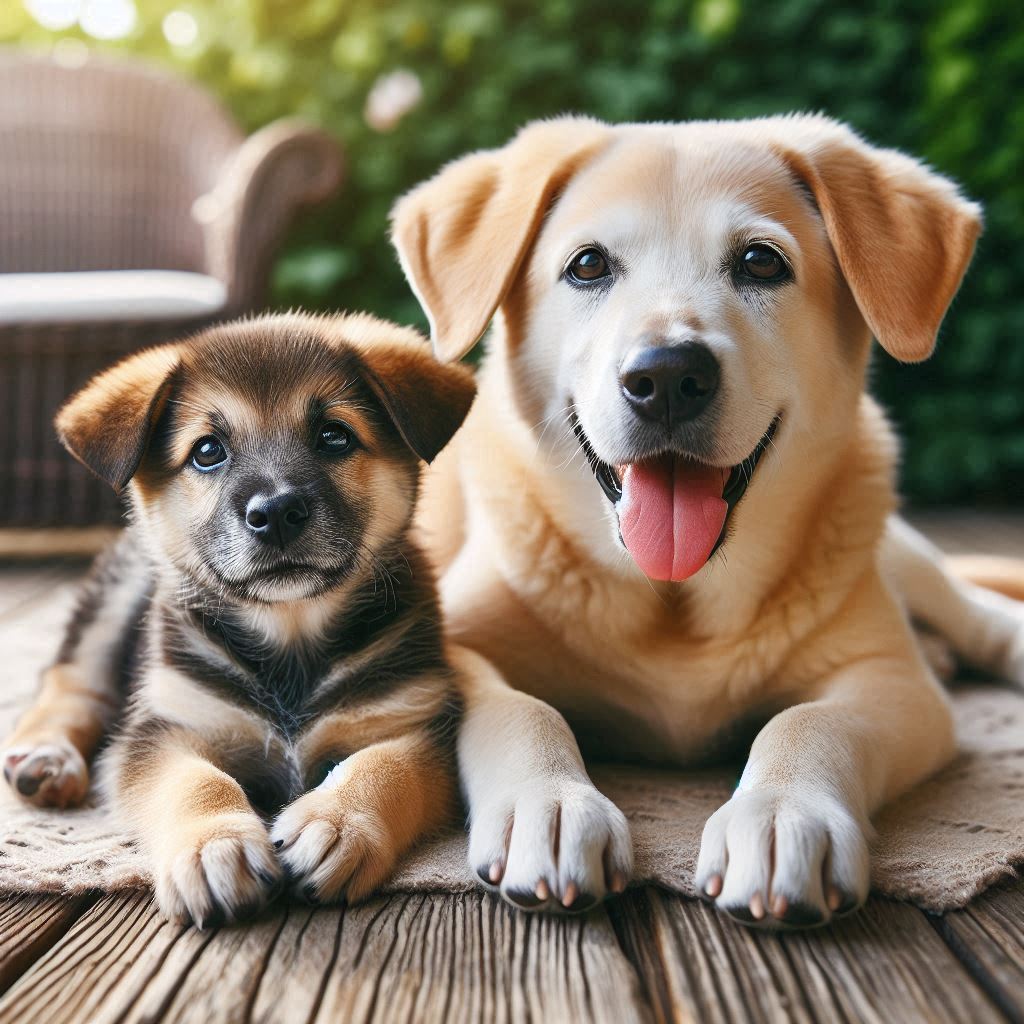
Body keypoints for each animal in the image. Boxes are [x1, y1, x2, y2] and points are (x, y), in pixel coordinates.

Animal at [3, 311, 475, 929]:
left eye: (335, 436)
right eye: (208, 451)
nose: (275, 512)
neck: (291, 638)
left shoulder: (415, 723)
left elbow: (383, 768)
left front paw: (336, 823)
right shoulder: (169, 729)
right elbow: (196, 783)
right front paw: (214, 846)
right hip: (117, 594)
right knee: (70, 684)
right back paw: (47, 758)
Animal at [389, 114, 1024, 929]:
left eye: (760, 262)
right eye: (588, 265)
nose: (666, 377)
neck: (676, 603)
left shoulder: (893, 683)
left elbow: (809, 720)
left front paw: (782, 814)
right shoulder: (455, 638)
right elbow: (517, 707)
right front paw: (550, 804)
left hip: (896, 554)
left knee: (974, 611)